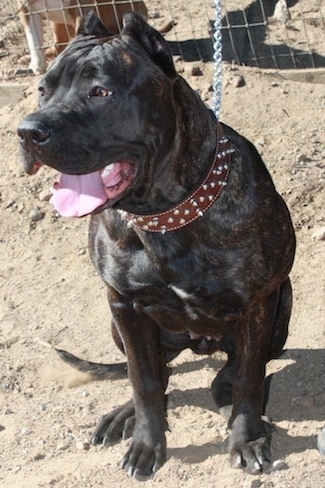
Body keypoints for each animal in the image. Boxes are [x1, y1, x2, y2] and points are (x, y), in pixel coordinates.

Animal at [19, 11, 294, 480]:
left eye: (101, 91)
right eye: (43, 89)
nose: (26, 131)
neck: (164, 214)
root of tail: (198, 343)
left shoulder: (260, 302)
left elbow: (249, 378)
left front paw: (246, 437)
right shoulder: (124, 305)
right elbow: (143, 378)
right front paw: (147, 442)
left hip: (283, 305)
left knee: (235, 368)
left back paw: (225, 391)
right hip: (120, 325)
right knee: (157, 371)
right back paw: (124, 415)